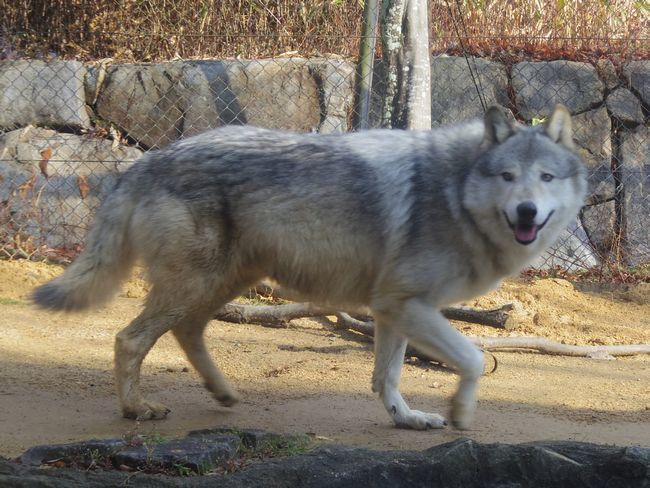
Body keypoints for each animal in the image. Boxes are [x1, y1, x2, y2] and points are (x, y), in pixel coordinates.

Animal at [33, 106, 584, 430]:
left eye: (546, 177)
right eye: (508, 176)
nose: (527, 212)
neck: (454, 192)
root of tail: (146, 161)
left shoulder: (393, 308)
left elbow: (387, 376)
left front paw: (406, 418)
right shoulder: (407, 305)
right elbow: (471, 358)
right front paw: (460, 412)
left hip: (224, 283)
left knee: (188, 332)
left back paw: (223, 391)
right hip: (196, 284)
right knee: (130, 339)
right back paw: (136, 409)